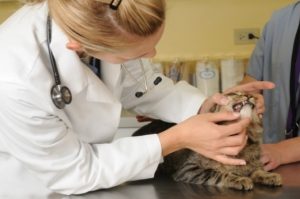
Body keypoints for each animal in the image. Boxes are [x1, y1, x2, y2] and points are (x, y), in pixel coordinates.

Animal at [132, 92, 282, 190]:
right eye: (235, 93)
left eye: (252, 96)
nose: (251, 96)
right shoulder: (188, 170)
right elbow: (218, 173)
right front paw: (238, 178)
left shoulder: (255, 164)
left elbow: (258, 170)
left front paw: (269, 175)